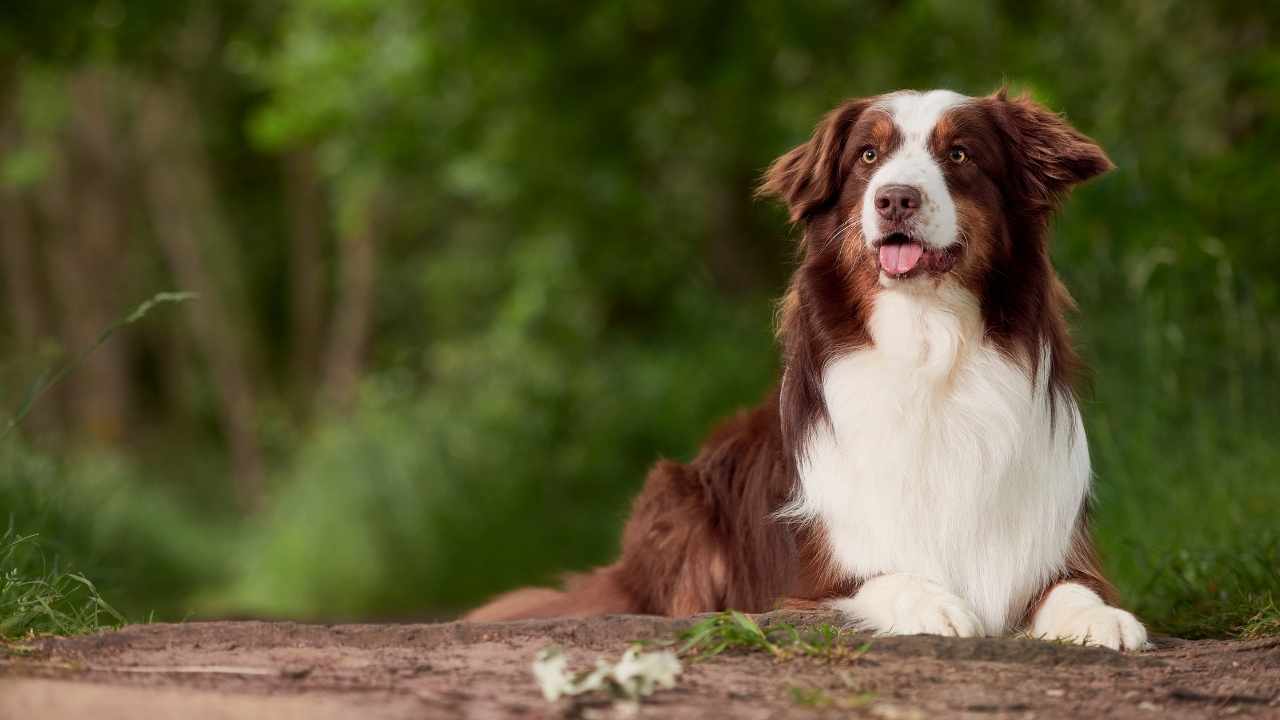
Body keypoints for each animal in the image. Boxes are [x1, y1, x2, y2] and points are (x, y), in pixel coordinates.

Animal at [468, 89, 1152, 650]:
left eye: (960, 154)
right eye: (868, 156)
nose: (895, 198)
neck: (927, 347)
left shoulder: (1051, 543)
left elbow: (1074, 588)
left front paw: (1101, 620)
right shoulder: (814, 578)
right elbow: (884, 577)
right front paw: (935, 604)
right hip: (674, 493)